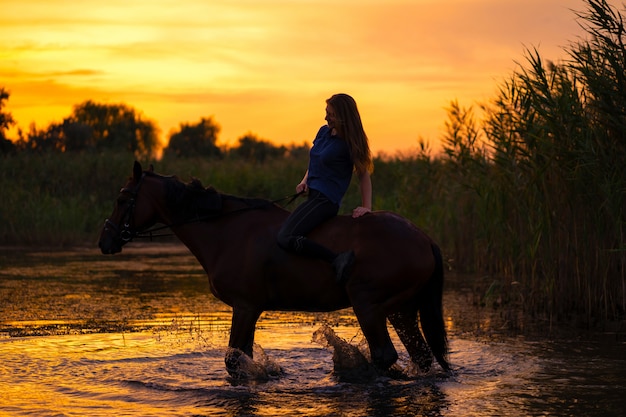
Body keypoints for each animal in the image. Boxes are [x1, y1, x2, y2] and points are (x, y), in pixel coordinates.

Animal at [97, 161, 448, 376]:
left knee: (385, 355)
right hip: (401, 309)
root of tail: (424, 238)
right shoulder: (249, 309)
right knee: (420, 355)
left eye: (122, 198)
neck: (227, 230)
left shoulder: (244, 306)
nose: (105, 240)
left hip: (369, 306)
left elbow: (234, 361)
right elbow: (243, 358)